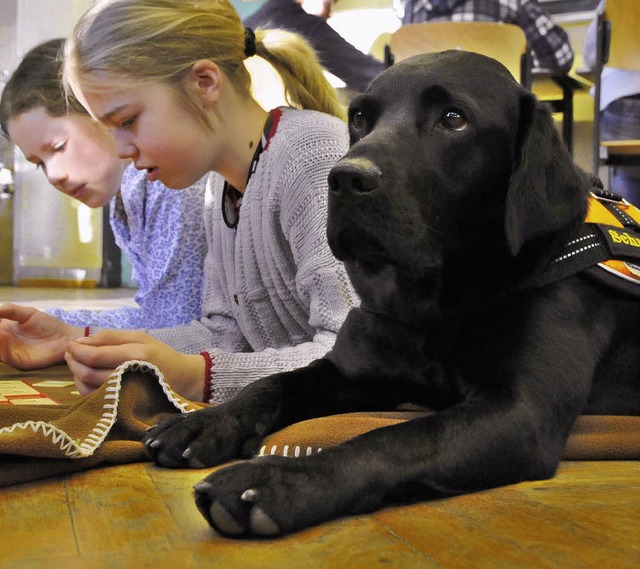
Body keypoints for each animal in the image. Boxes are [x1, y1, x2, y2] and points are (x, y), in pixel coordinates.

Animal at [145, 51, 640, 536]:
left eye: (454, 118)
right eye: (360, 117)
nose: (345, 178)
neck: (435, 303)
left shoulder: (522, 410)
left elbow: (396, 437)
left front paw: (281, 480)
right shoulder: (348, 371)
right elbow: (272, 383)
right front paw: (203, 420)